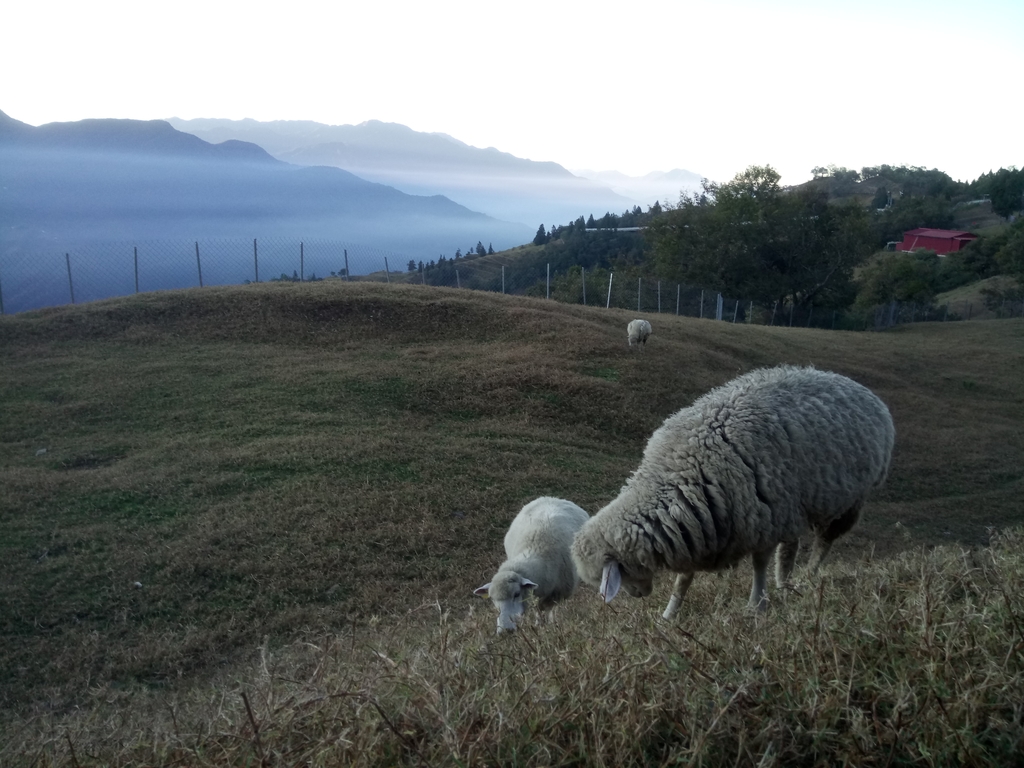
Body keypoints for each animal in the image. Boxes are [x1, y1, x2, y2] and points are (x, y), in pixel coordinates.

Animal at [473, 495, 589, 634]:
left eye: (517, 594)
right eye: (492, 599)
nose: (505, 630)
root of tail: (552, 498)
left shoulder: (558, 593)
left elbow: (545, 608)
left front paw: (549, 625)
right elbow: (537, 609)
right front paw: (539, 625)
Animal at [573, 364, 892, 622]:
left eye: (614, 574)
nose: (639, 595)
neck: (681, 474)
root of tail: (861, 389)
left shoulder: (761, 518)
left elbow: (759, 564)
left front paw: (756, 605)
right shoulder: (698, 527)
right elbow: (683, 579)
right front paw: (669, 614)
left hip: (847, 500)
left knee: (823, 541)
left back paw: (807, 578)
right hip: (794, 504)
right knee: (790, 547)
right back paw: (784, 584)